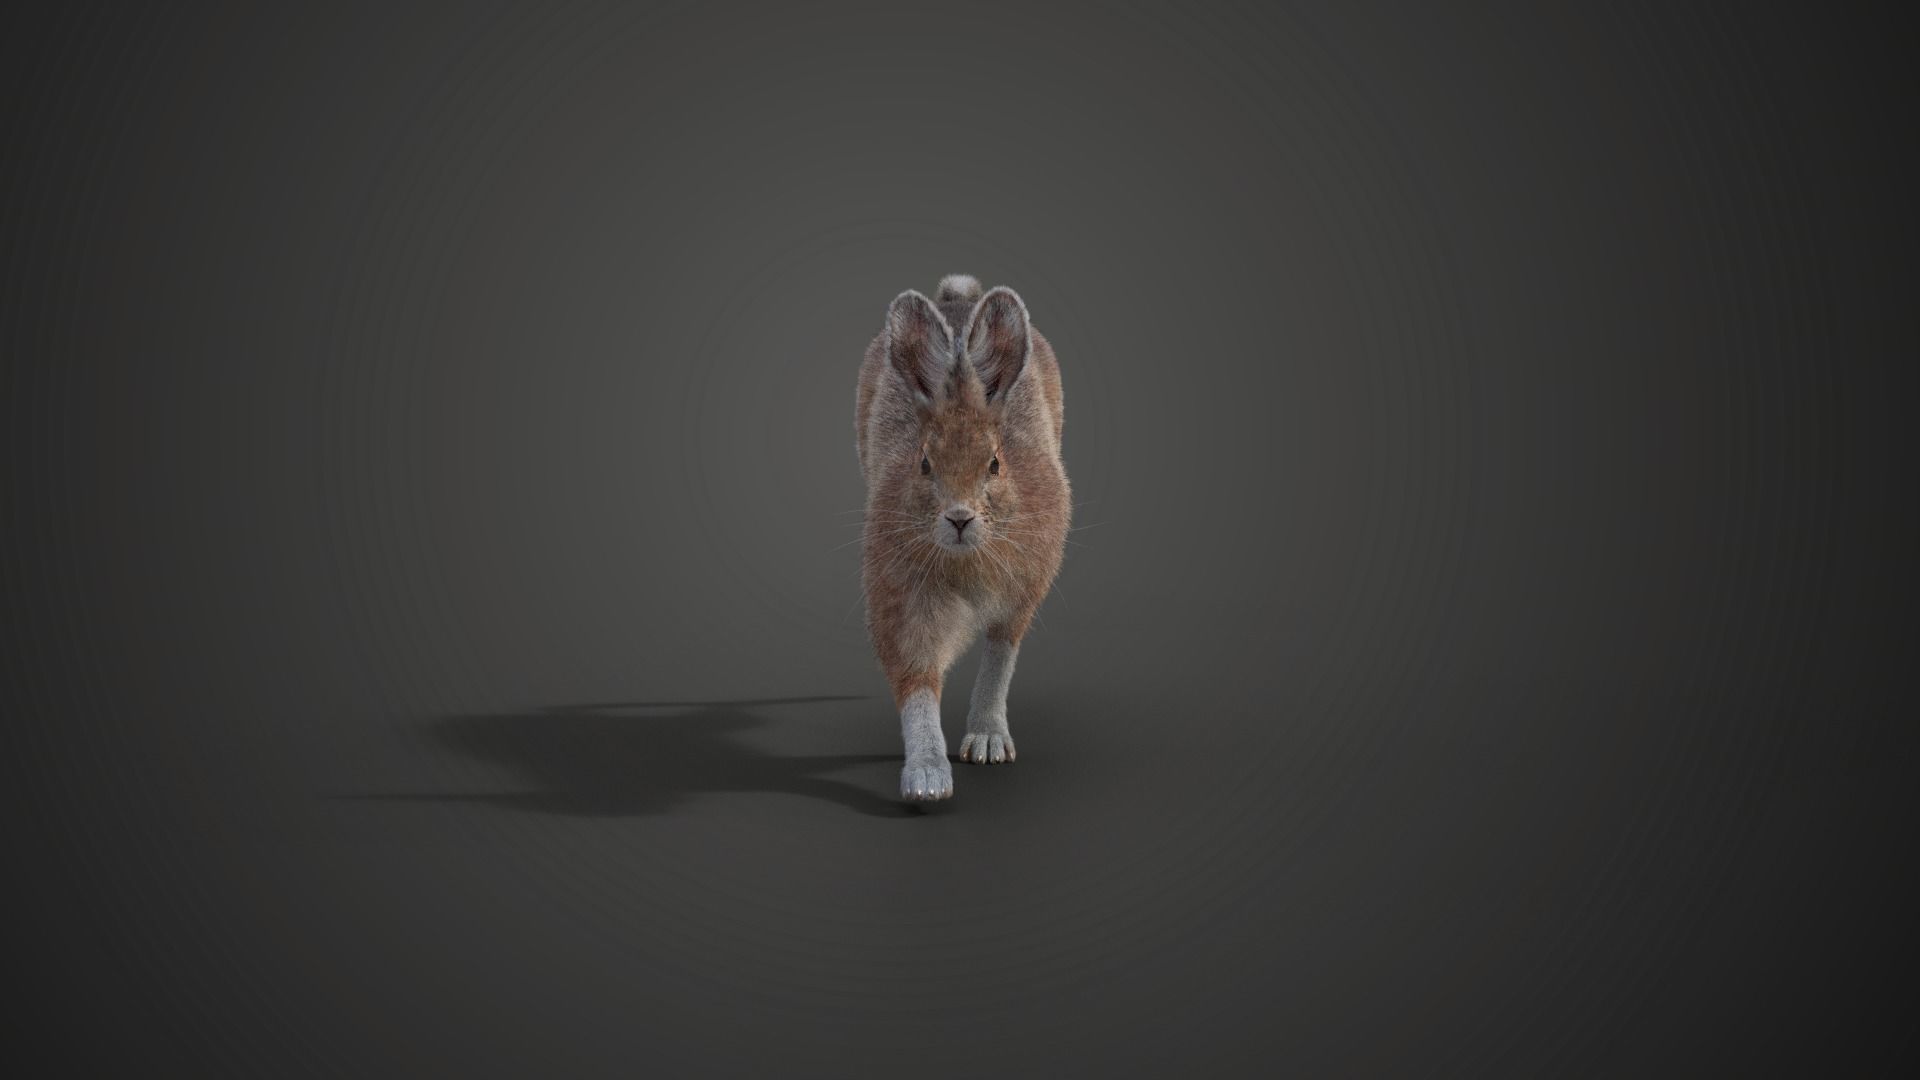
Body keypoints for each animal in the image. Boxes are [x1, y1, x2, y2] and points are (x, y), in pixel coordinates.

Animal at [854, 274, 1070, 801]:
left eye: (994, 462)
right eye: (924, 463)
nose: (958, 519)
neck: (965, 558)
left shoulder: (1020, 595)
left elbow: (999, 655)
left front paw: (988, 743)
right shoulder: (903, 604)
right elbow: (917, 685)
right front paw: (928, 780)